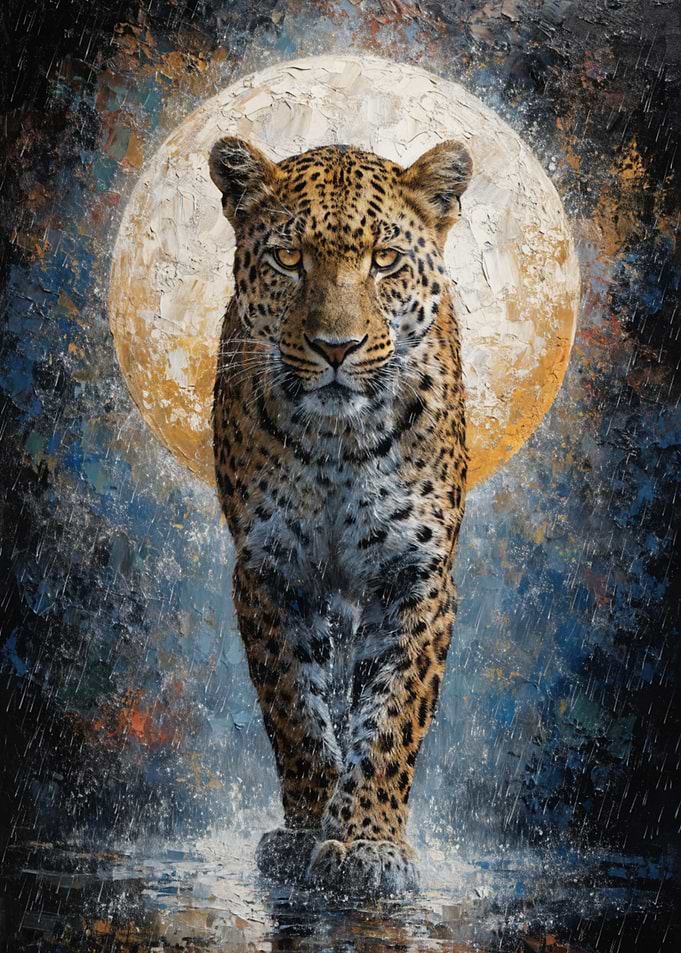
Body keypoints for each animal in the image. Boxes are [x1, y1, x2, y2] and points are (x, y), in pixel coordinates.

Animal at [209, 134, 471, 897]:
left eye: (383, 260)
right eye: (288, 258)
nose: (335, 348)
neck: (335, 441)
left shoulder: (413, 571)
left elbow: (390, 717)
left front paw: (367, 842)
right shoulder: (271, 570)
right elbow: (294, 710)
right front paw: (306, 831)